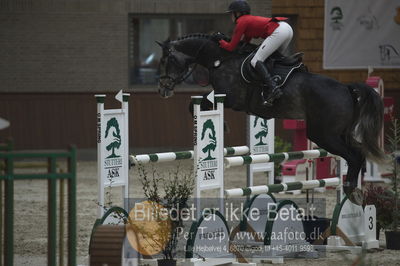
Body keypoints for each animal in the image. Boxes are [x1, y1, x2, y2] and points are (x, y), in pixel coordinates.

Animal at [156, 33, 384, 204]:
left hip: (324, 135)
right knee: (358, 154)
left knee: (354, 156)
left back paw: (351, 190)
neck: (219, 59)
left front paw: (224, 126)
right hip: (339, 134)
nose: (163, 89)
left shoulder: (229, 98)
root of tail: (347, 89)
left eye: (167, 60)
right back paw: (354, 194)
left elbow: (198, 103)